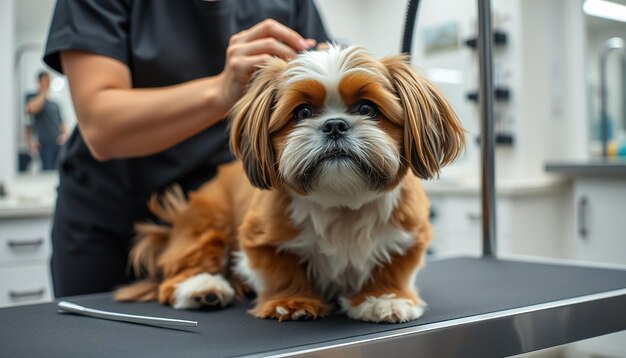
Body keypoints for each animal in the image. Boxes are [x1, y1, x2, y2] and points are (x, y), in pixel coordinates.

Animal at [114, 45, 464, 324]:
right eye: (302, 112)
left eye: (367, 108)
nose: (334, 125)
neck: (342, 202)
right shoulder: (260, 238)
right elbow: (281, 268)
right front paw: (291, 301)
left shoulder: (409, 236)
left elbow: (392, 267)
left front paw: (384, 299)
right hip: (208, 224)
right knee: (180, 273)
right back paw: (203, 289)